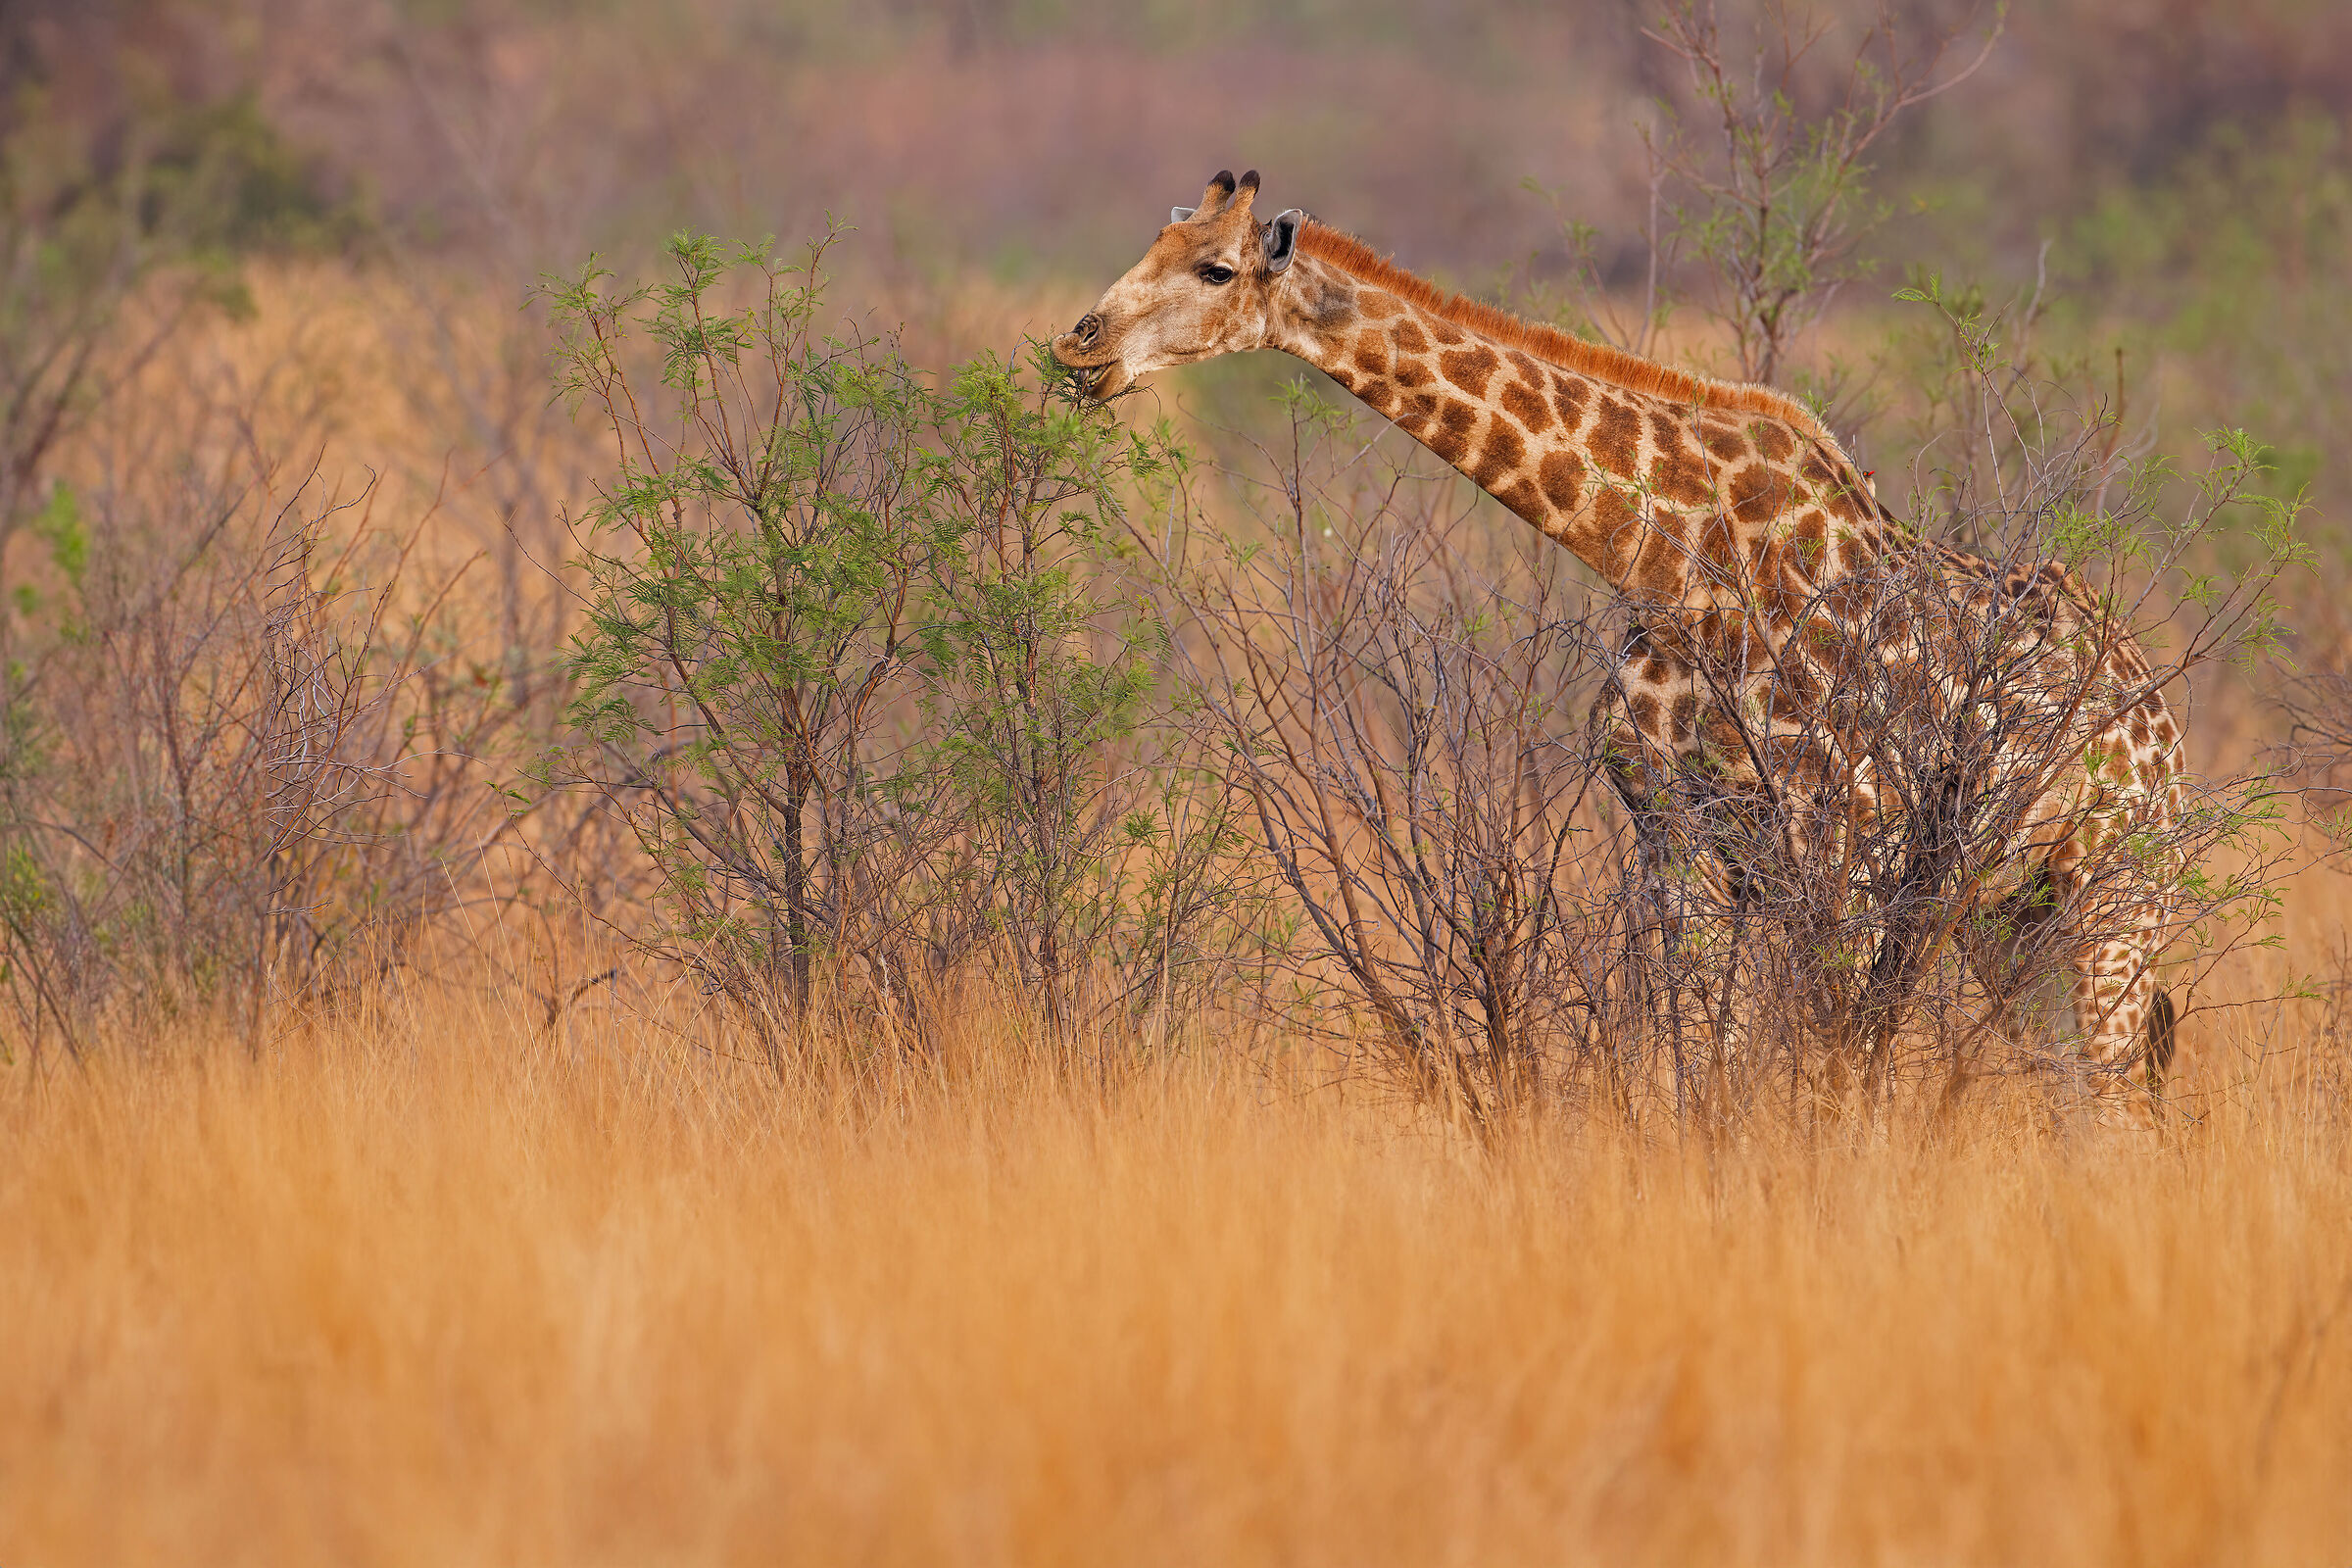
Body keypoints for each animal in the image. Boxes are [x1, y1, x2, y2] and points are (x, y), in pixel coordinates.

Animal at [1052, 169, 2186, 1108]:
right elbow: (1698, 1064)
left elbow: (1826, 1071)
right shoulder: (1678, 842)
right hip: (2010, 915)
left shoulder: (1843, 854)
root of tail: (2164, 731)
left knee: (2116, 1104)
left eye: (1215, 267)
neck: (1672, 557)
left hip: (2116, 892)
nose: (1080, 344)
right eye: (1156, 244)